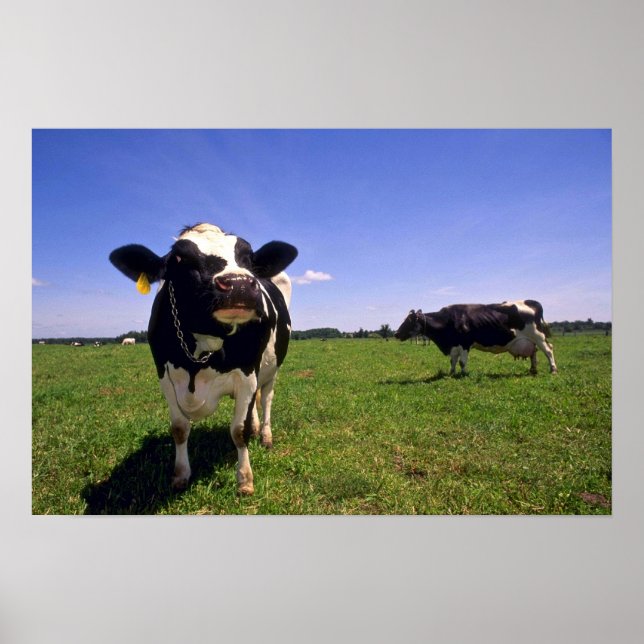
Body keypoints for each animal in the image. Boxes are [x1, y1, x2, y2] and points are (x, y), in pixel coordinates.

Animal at [109, 223, 298, 495]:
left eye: (248, 258)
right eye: (179, 258)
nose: (239, 283)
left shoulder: (247, 373)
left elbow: (239, 431)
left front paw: (245, 480)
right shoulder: (165, 375)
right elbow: (179, 429)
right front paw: (180, 475)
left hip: (271, 368)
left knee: (266, 399)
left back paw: (265, 436)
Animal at [394, 299, 557, 376]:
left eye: (408, 321)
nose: (396, 334)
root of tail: (531, 301)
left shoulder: (465, 343)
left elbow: (462, 362)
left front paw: (463, 374)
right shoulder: (454, 344)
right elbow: (453, 361)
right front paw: (451, 373)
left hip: (539, 336)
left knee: (548, 350)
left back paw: (553, 369)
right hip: (531, 340)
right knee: (534, 353)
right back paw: (533, 369)